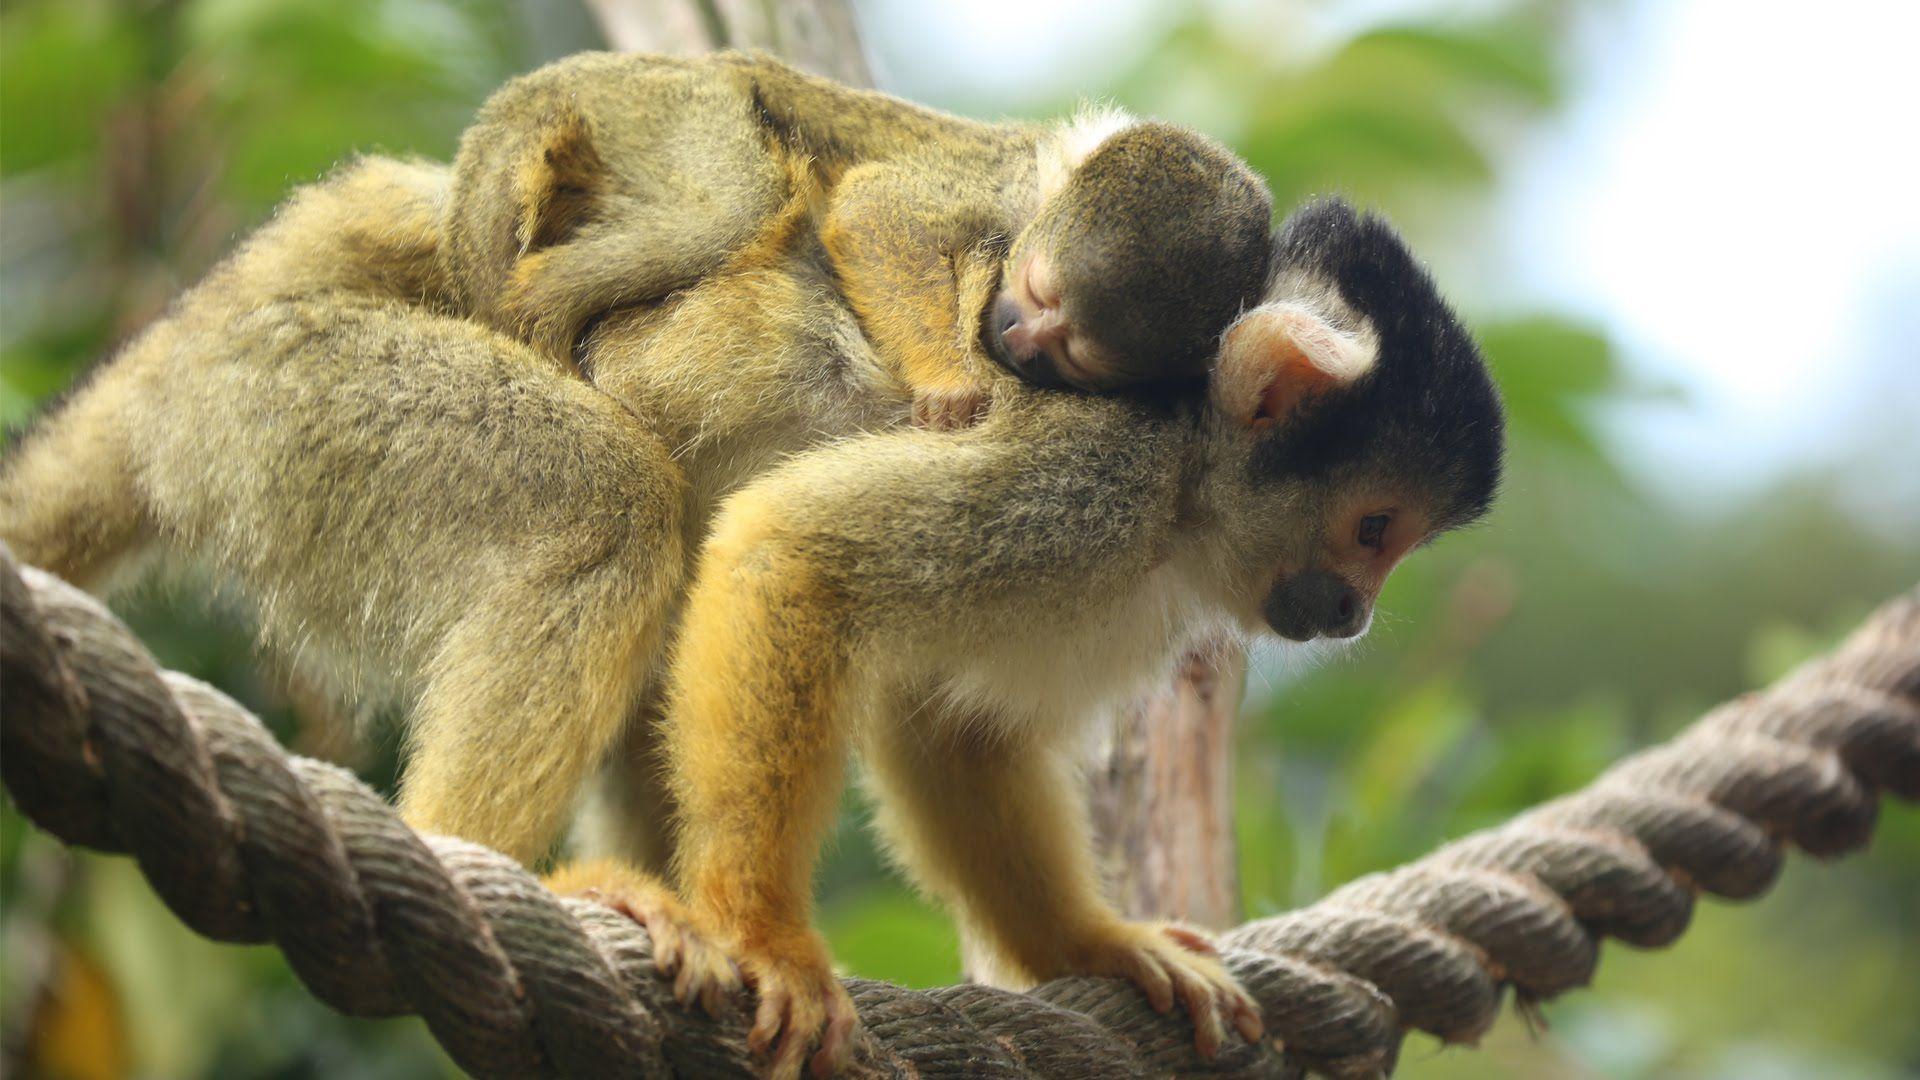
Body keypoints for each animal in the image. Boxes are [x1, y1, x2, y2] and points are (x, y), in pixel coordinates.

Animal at [437, 50, 1273, 423]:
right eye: (1035, 292)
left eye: (1071, 356)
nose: (1018, 339)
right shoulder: (999, 193)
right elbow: (876, 211)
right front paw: (946, 379)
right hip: (663, 111)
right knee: (735, 206)